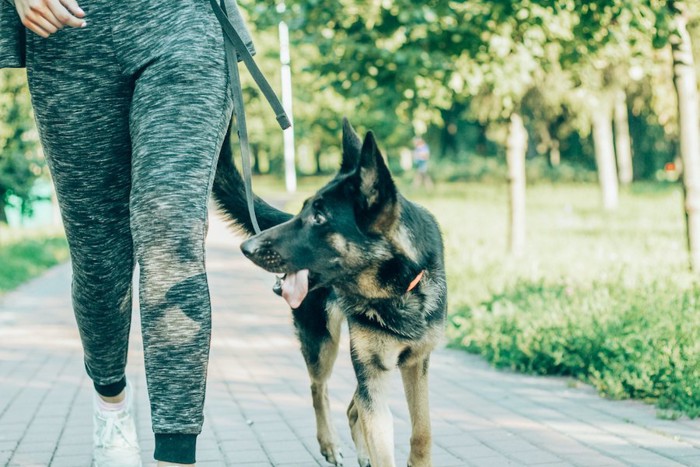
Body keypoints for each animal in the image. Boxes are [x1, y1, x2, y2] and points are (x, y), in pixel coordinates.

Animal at [211, 120, 446, 467]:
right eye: (304, 211)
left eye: (318, 218)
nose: (247, 247)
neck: (396, 291)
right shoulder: (373, 373)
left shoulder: (416, 364)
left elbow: (423, 432)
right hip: (323, 342)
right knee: (318, 389)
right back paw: (330, 444)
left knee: (353, 406)